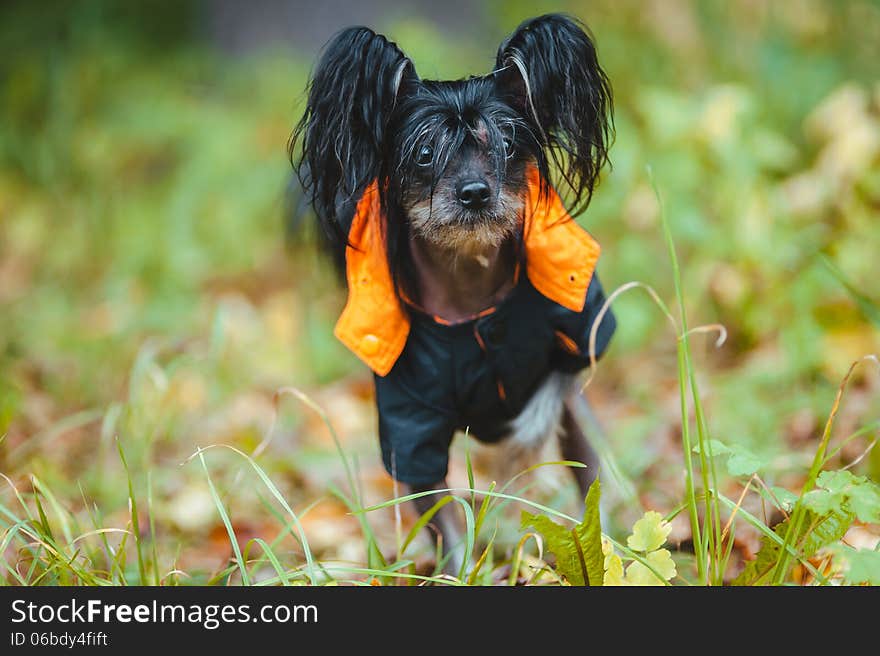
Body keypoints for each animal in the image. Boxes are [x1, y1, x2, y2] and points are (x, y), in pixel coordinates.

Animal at [292, 11, 616, 576]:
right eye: (425, 153)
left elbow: (580, 451)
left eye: (507, 145)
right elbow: (442, 524)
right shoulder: (410, 428)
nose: (474, 192)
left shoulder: (578, 345)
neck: (472, 300)